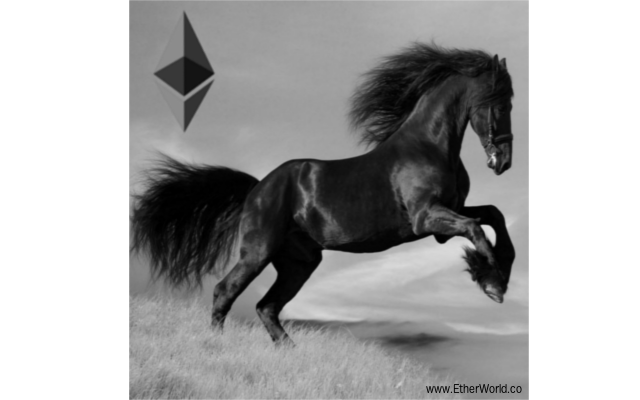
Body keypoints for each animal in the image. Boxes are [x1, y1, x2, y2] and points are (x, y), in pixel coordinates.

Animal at [131, 43, 517, 345]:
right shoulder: (426, 219)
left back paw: (290, 352)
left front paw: (495, 275)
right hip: (258, 251)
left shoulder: (447, 217)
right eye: (501, 104)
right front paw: (492, 281)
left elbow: (493, 216)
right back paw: (218, 343)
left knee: (266, 306)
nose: (504, 161)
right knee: (226, 291)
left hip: (299, 262)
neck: (429, 147)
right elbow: (477, 228)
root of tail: (257, 188)